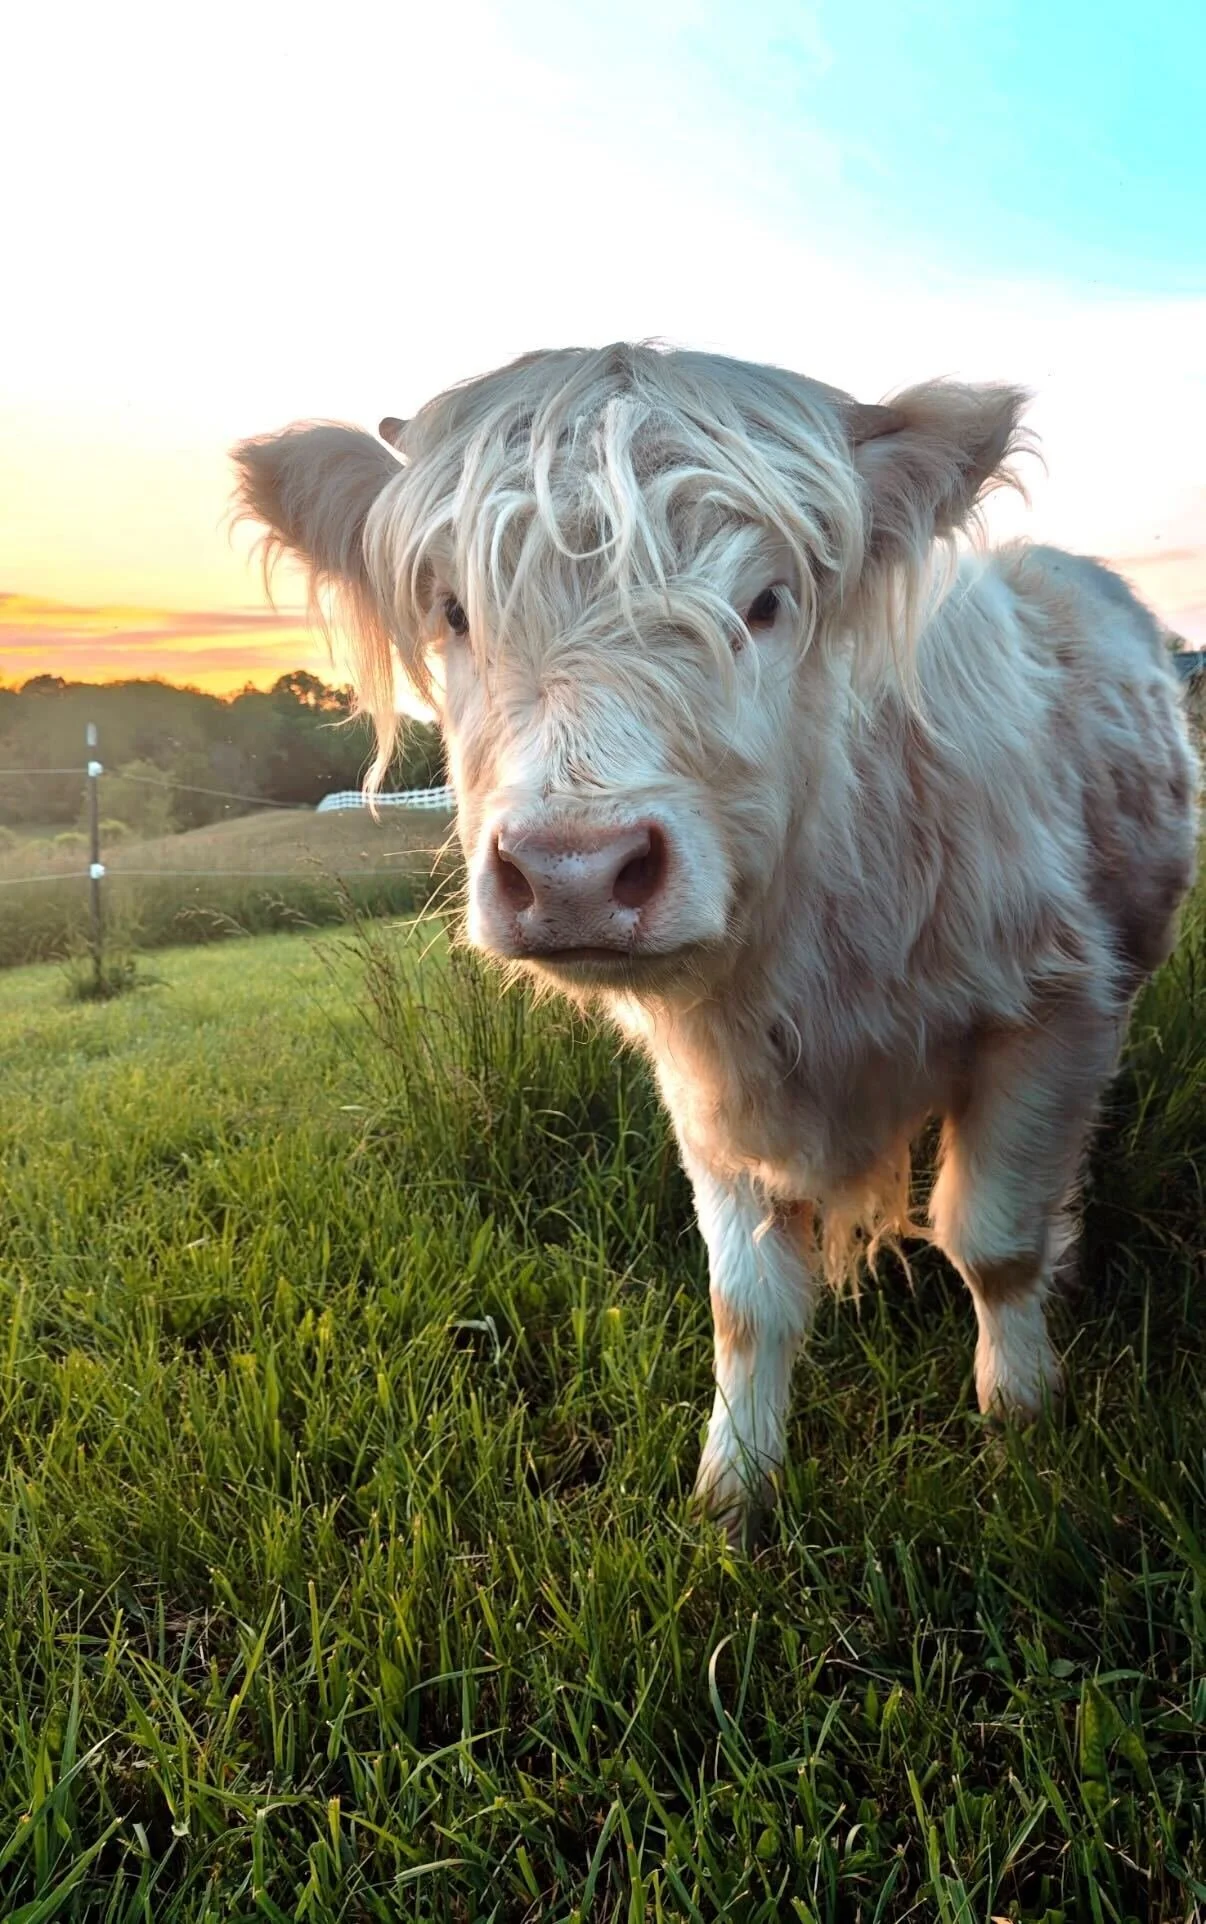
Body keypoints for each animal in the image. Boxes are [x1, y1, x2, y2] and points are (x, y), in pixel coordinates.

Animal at [234, 343, 1198, 1545]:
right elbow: (745, 1303)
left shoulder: (1052, 1012)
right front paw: (734, 1488)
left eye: (766, 602)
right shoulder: (707, 1082)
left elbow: (996, 1239)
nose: (574, 871)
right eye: (455, 610)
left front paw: (1022, 1421)